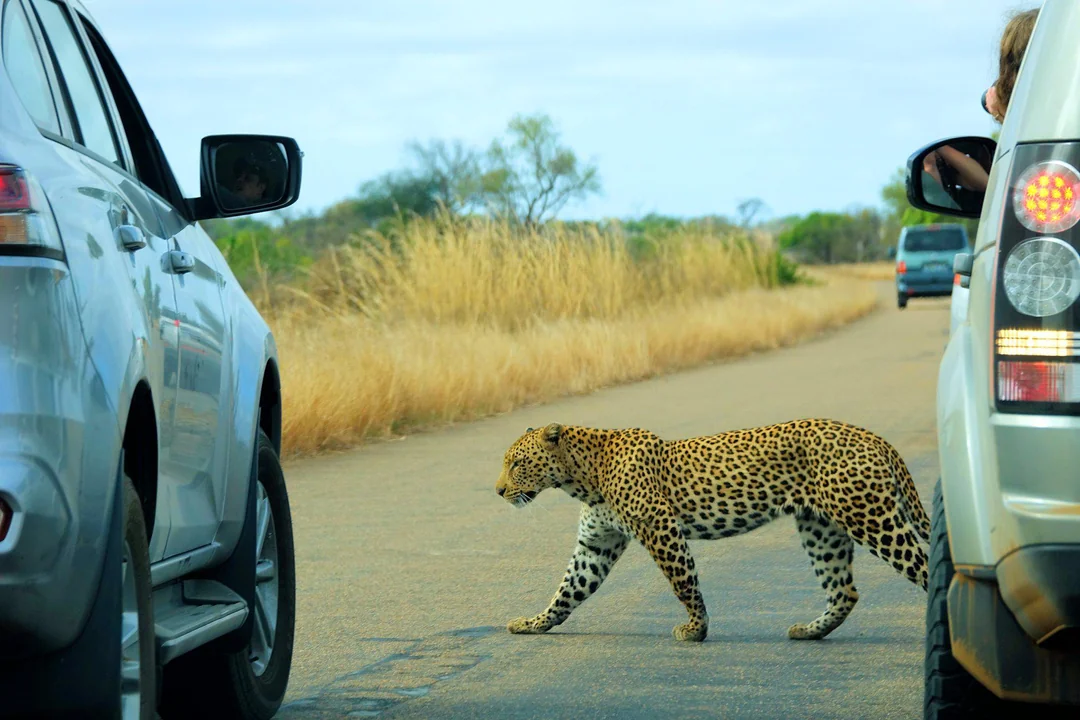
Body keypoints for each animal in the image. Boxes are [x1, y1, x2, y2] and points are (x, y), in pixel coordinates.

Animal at [494, 419, 931, 643]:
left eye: (517, 463)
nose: (498, 491)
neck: (583, 476)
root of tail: (873, 436)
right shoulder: (596, 544)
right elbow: (568, 591)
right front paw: (533, 623)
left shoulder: (660, 525)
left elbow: (683, 581)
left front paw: (696, 629)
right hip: (821, 528)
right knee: (845, 590)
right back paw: (808, 631)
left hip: (871, 518)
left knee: (924, 566)